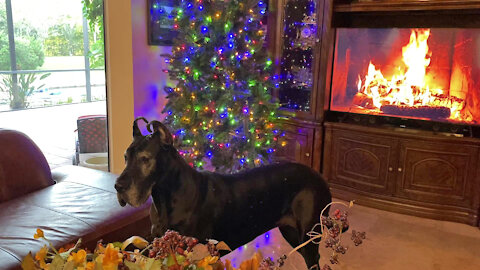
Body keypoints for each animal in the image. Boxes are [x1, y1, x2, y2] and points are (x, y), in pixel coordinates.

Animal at [115, 118, 334, 268]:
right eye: (125, 157)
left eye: (145, 159)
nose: (118, 186)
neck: (165, 199)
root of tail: (319, 176)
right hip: (291, 232)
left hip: (309, 235)